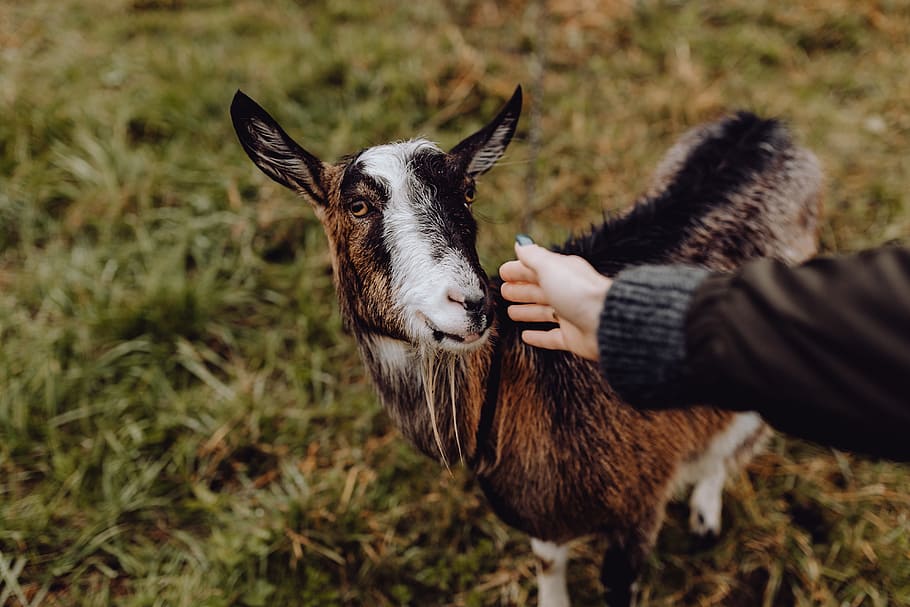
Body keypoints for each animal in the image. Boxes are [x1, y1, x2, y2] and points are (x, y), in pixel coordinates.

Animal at [230, 86, 828, 607]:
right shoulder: (540, 509)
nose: (472, 303)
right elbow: (546, 559)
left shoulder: (639, 505)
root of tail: (762, 124)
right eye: (357, 206)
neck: (523, 387)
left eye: (468, 192)